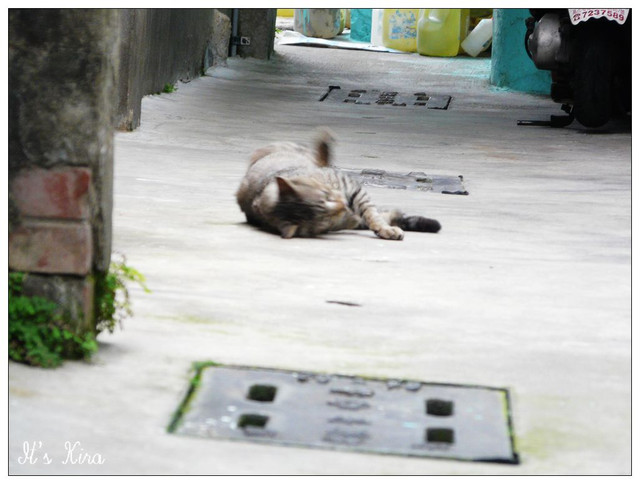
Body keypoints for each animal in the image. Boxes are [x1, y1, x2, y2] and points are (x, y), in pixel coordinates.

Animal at [235, 129, 441, 240]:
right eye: (325, 217)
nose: (345, 205)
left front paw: (386, 227)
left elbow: (373, 214)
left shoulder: (352, 188)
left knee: (321, 155)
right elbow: (378, 215)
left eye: (326, 195)